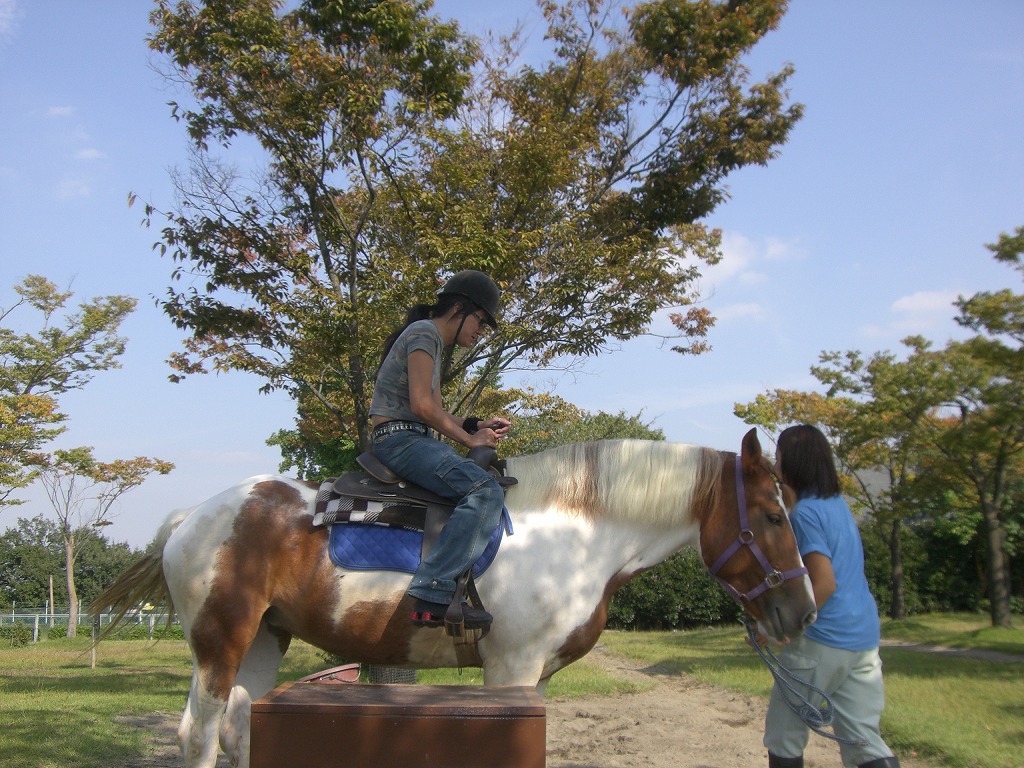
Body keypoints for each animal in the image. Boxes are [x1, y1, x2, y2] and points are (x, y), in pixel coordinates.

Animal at [94, 430, 815, 765]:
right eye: (773, 516)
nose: (803, 611)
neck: (579, 535)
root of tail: (191, 515)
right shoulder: (511, 669)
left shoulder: (531, 681)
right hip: (221, 641)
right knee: (198, 733)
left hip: (265, 641)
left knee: (238, 727)